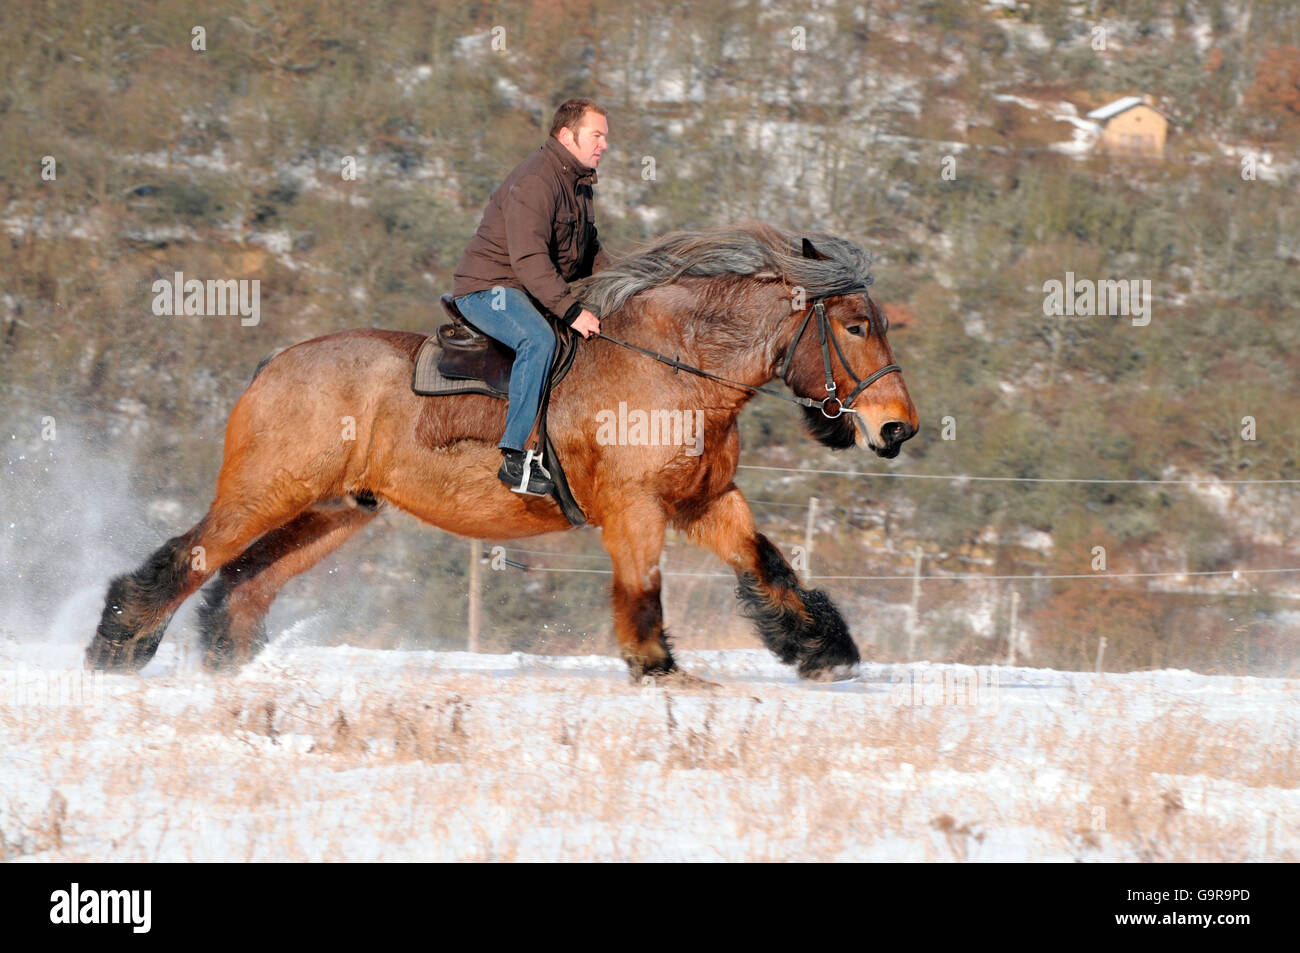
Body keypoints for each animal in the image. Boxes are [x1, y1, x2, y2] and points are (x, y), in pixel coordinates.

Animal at [85, 221, 917, 683]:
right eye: (853, 326)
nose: (897, 428)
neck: (672, 368)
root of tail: (274, 364)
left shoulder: (706, 501)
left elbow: (768, 566)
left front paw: (824, 646)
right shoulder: (636, 510)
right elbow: (642, 591)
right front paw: (656, 665)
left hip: (332, 512)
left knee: (247, 583)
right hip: (263, 494)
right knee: (189, 556)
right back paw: (118, 643)